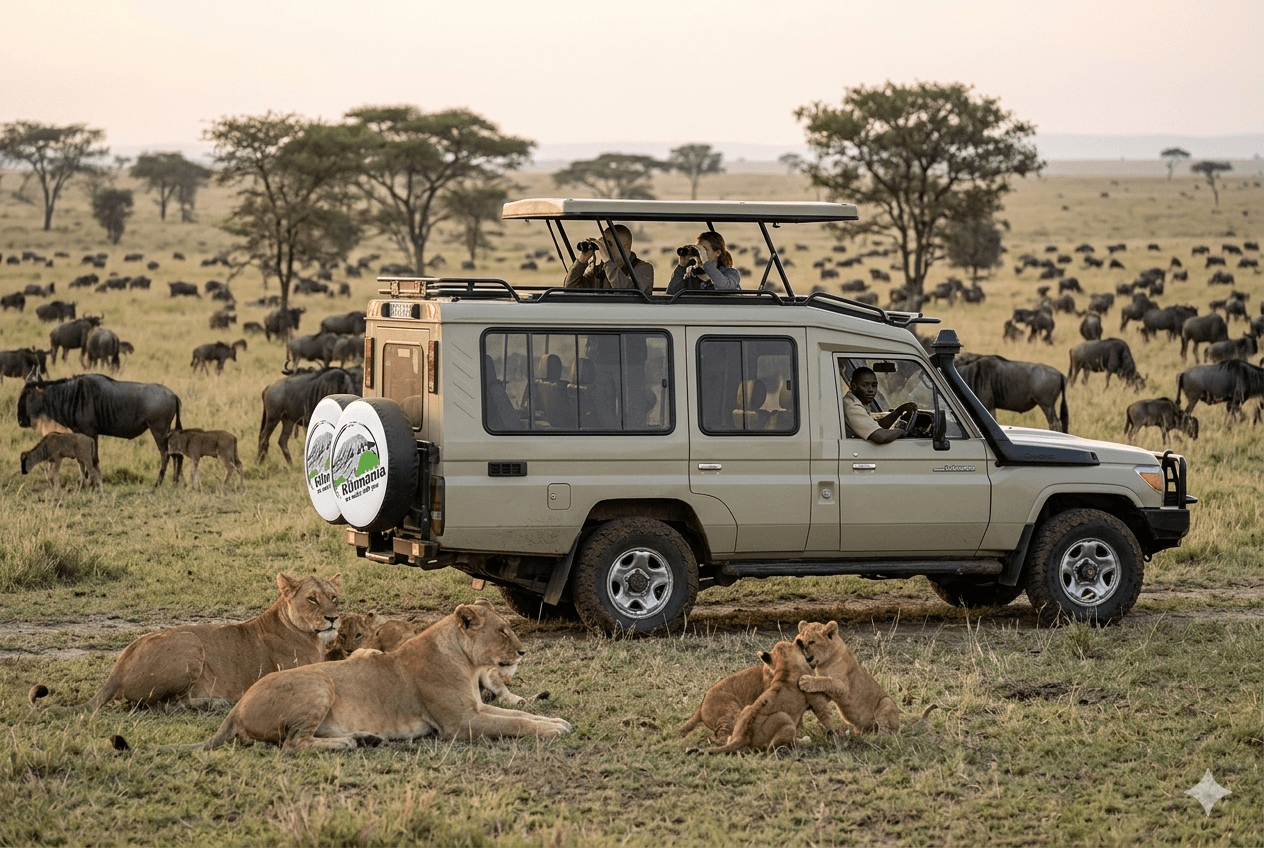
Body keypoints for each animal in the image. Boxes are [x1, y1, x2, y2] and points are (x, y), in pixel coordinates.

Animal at [30, 573, 341, 713]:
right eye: (312, 599)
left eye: (333, 597)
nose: (333, 618)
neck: (311, 636)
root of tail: (117, 669)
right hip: (190, 642)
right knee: (163, 705)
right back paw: (214, 703)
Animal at [131, 600, 570, 751]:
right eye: (503, 631)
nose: (523, 651)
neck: (465, 661)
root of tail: (235, 710)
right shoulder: (460, 724)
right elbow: (515, 725)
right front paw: (551, 731)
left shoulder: (475, 709)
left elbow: (520, 714)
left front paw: (556, 721)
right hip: (319, 682)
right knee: (293, 745)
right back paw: (348, 744)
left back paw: (365, 738)